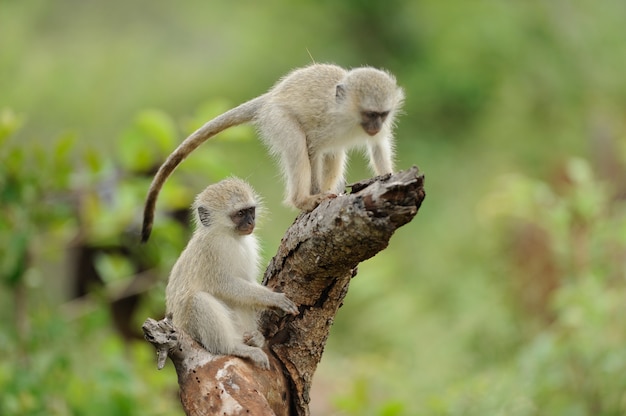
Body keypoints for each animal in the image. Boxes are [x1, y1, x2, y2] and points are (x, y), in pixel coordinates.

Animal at [143, 63, 404, 242]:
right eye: (369, 114)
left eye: (382, 115)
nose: (375, 126)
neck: (349, 117)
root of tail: (271, 97)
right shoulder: (324, 124)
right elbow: (312, 149)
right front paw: (315, 197)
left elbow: (378, 145)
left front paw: (387, 176)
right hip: (277, 118)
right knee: (298, 145)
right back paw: (302, 200)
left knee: (334, 154)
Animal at [166, 177, 298, 368]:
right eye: (240, 213)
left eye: (250, 211)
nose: (251, 222)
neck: (229, 236)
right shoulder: (214, 249)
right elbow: (225, 284)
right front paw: (273, 299)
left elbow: (247, 283)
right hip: (190, 330)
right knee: (200, 300)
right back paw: (234, 347)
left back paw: (254, 339)